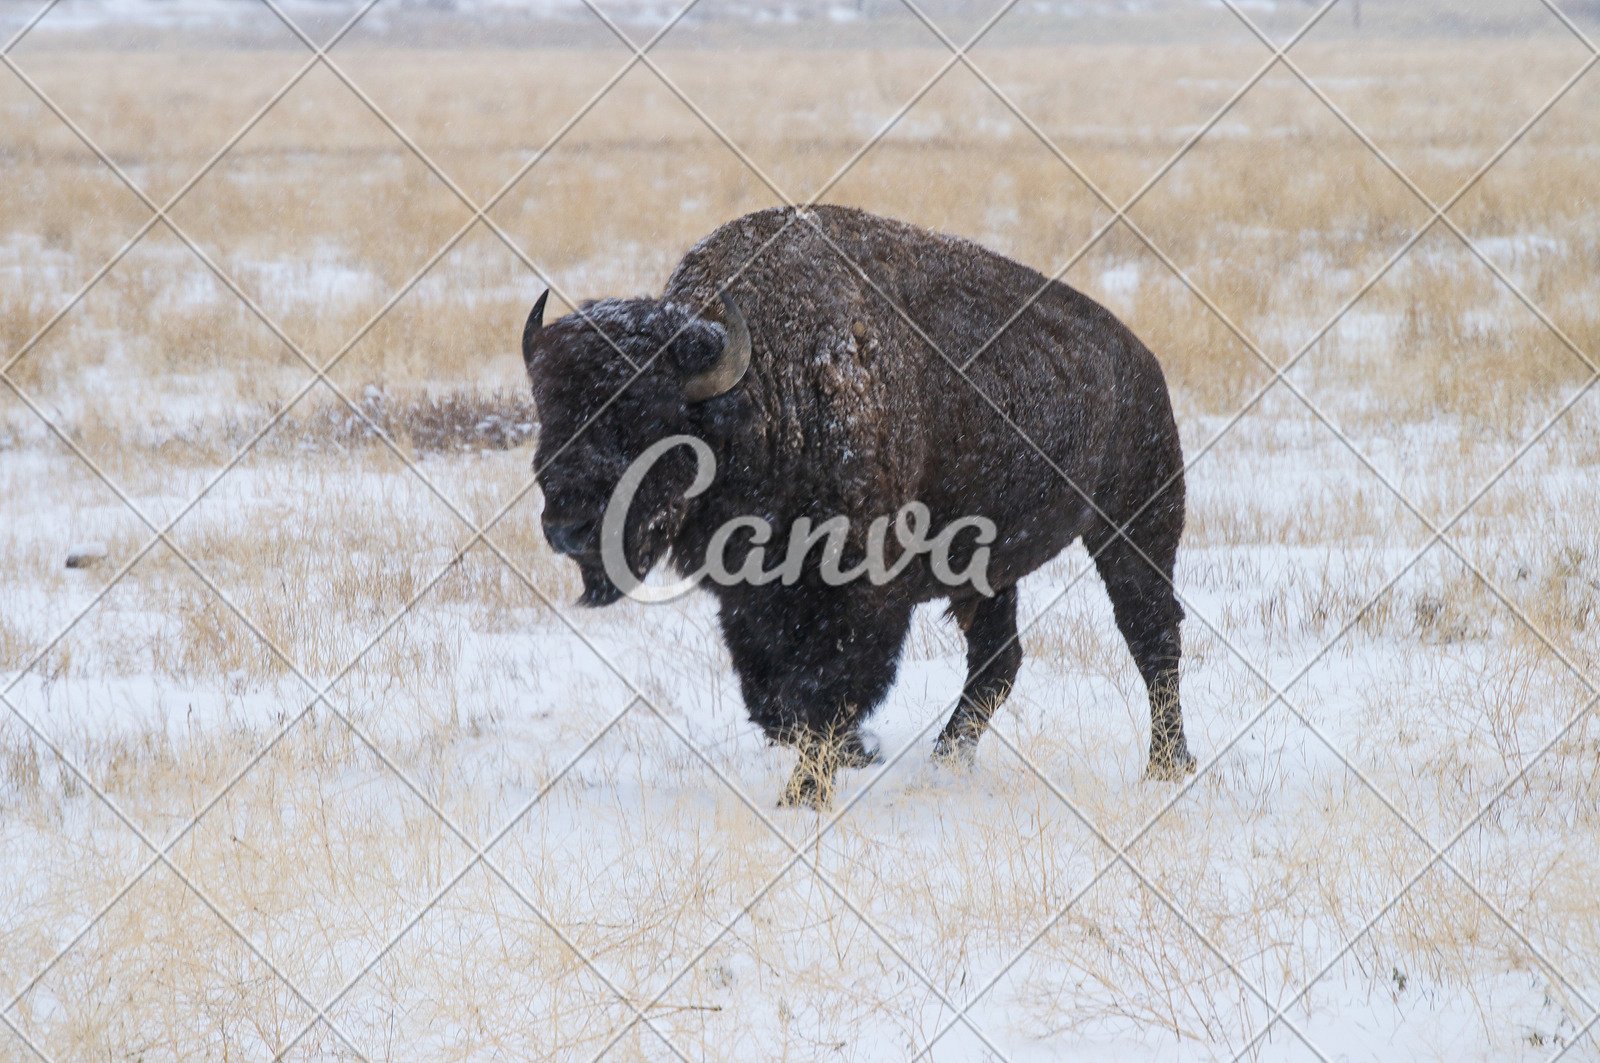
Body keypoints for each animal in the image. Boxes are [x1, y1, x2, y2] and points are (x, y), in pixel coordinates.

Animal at [528, 204, 1203, 806]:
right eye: (548, 413)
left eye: (649, 418)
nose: (569, 528)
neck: (765, 386)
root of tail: (1141, 360)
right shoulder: (749, 601)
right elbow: (773, 696)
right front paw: (841, 761)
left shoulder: (860, 594)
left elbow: (830, 689)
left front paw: (822, 779)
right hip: (989, 567)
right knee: (998, 659)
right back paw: (945, 762)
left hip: (1134, 528)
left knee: (1151, 635)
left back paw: (1167, 766)